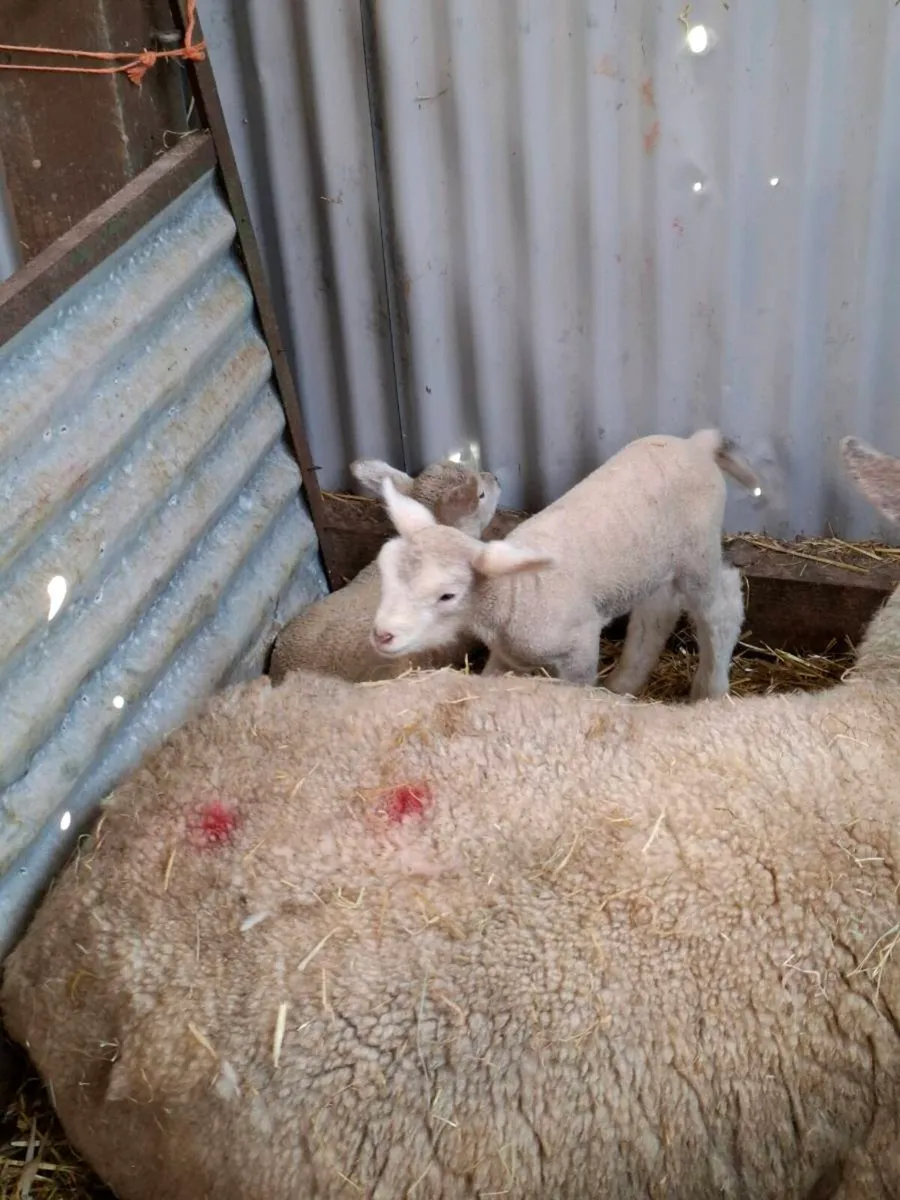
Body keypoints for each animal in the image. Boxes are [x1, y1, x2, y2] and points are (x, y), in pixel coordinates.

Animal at [370, 429, 763, 698]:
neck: (516, 592)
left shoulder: (580, 648)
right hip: (653, 562)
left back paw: (710, 690)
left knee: (721, 607)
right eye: (387, 575)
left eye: (447, 596)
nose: (381, 635)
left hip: (697, 551)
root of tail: (697, 444)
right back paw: (623, 683)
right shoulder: (508, 658)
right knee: (657, 612)